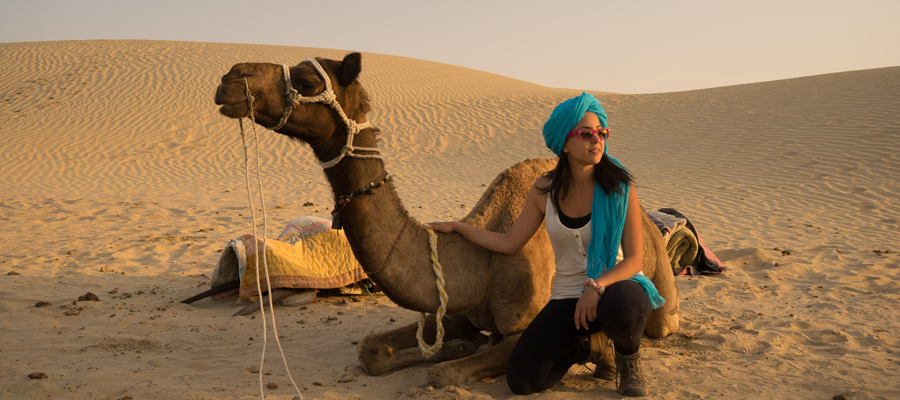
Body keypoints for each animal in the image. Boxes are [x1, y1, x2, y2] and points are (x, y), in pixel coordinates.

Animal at [213, 53, 676, 388]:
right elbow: (370, 349)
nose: (231, 78)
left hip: (663, 305)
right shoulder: (456, 308)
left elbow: (441, 374)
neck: (480, 263)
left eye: (307, 82)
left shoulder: (522, 323)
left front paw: (456, 355)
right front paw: (455, 346)